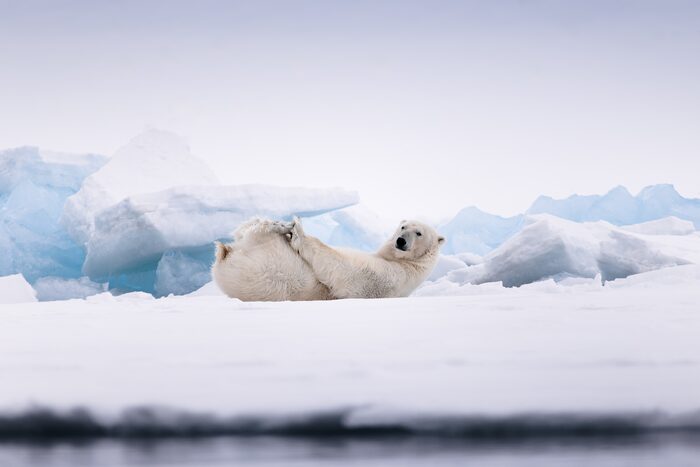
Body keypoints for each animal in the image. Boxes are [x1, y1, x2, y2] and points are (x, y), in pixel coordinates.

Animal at [211, 217, 445, 301]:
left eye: (419, 233)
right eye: (403, 226)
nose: (400, 240)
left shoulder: (390, 278)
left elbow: (347, 270)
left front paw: (300, 233)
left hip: (267, 267)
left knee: (258, 233)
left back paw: (282, 226)